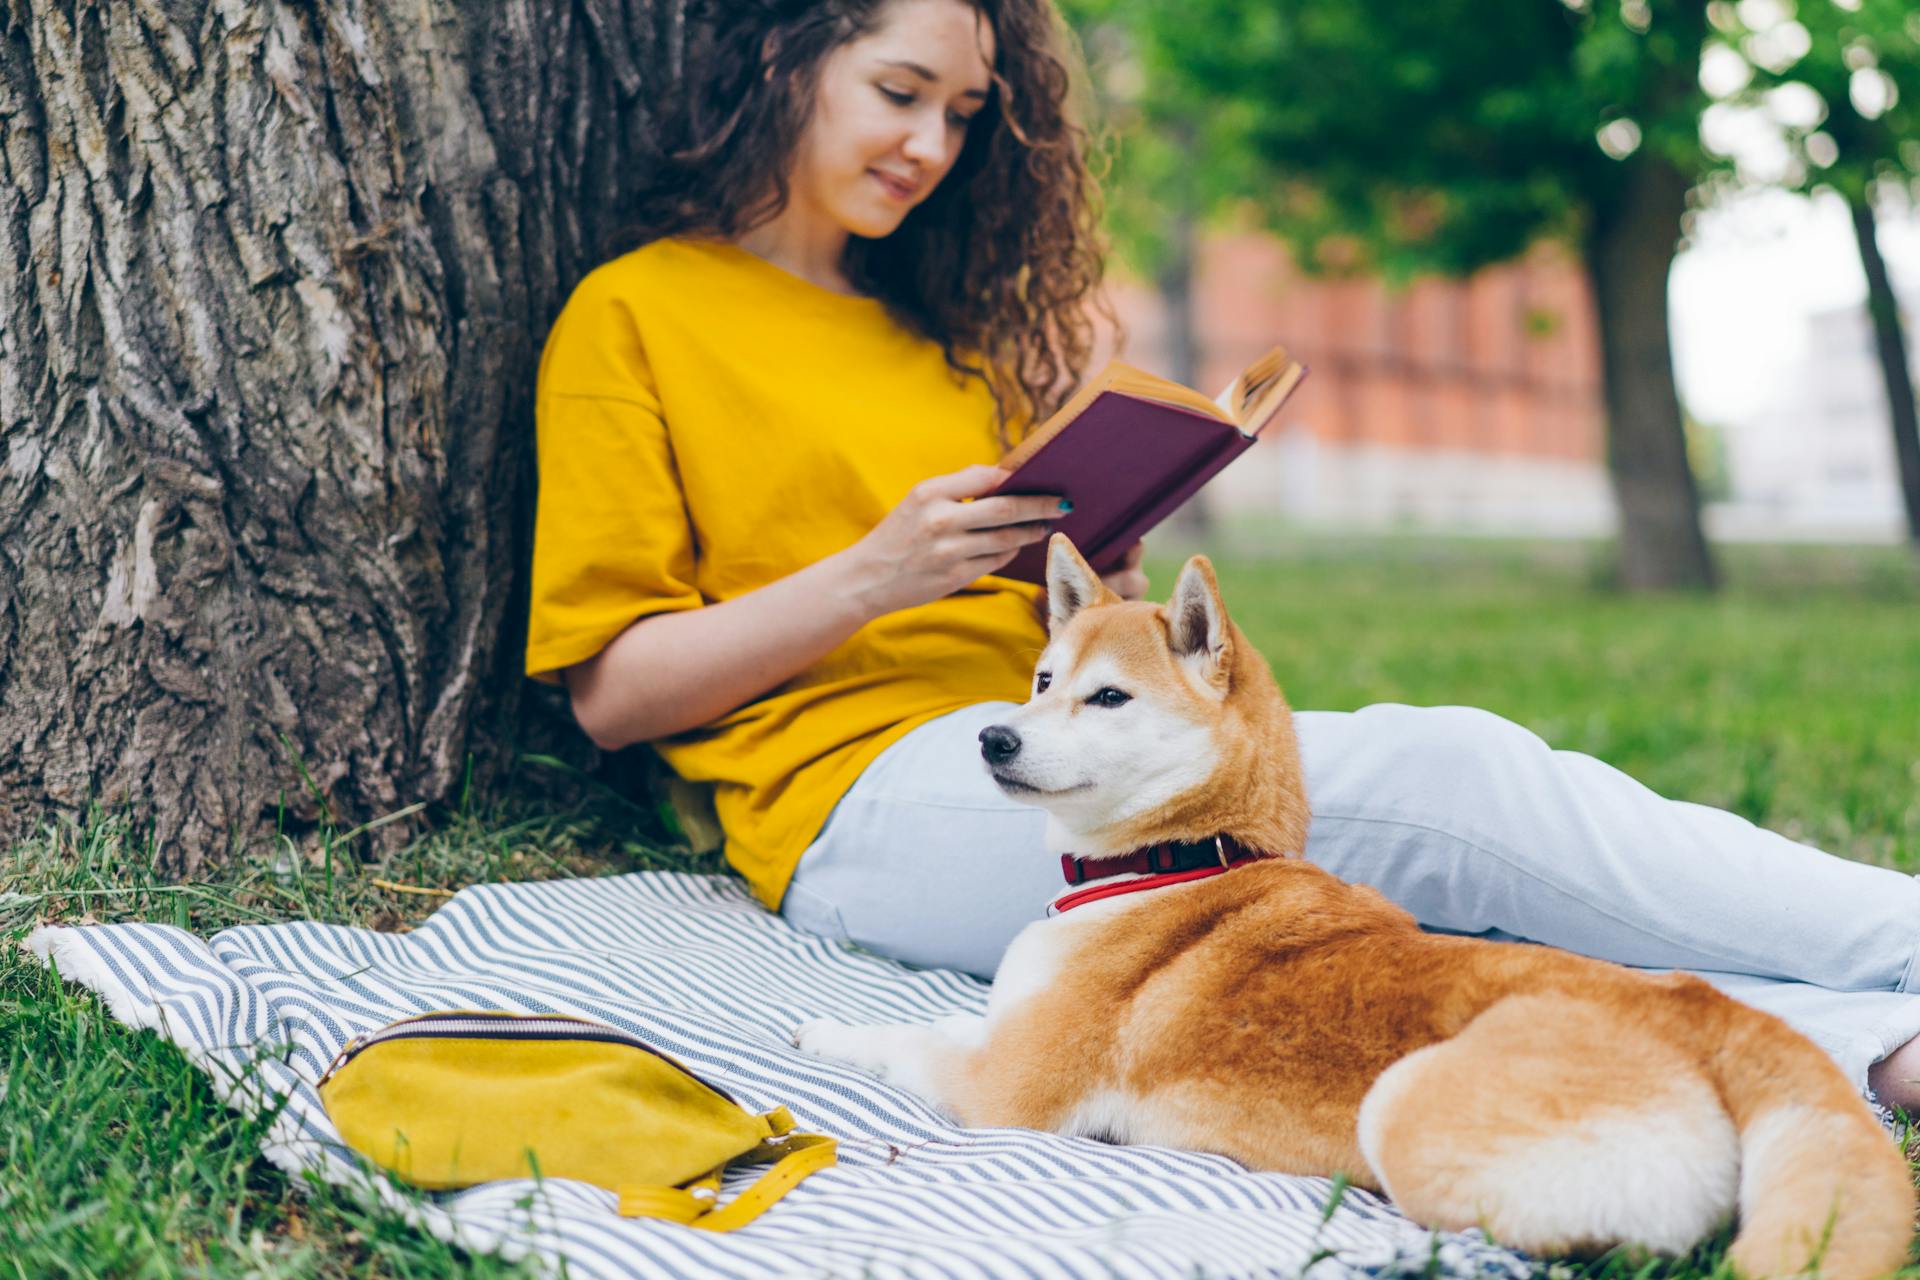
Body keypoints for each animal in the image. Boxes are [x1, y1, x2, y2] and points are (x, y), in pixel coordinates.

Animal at [787, 537, 1912, 1274]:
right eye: (1040, 679)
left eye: (1107, 697)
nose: (993, 739)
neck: (1184, 858)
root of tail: (1715, 1016)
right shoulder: (1003, 1034)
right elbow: (944, 1019)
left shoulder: (1006, 1092)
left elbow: (904, 1041)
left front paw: (828, 1032)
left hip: (1407, 1105)